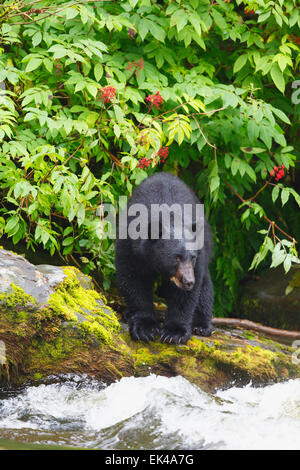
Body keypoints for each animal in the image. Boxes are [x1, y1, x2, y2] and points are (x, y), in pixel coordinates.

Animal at [115, 171, 213, 344]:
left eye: (192, 257)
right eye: (177, 258)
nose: (188, 281)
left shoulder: (199, 256)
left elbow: (184, 297)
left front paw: (175, 332)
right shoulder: (129, 245)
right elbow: (133, 280)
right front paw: (144, 328)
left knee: (205, 284)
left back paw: (202, 325)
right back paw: (127, 314)